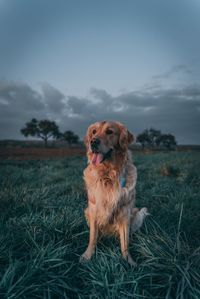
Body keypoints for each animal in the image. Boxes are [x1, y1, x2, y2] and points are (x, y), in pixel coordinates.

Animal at [80, 120, 148, 266]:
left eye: (109, 132)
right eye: (94, 131)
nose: (93, 142)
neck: (108, 175)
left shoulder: (125, 213)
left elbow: (125, 244)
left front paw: (129, 261)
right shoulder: (93, 210)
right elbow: (92, 238)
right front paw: (87, 255)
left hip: (136, 213)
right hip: (87, 211)